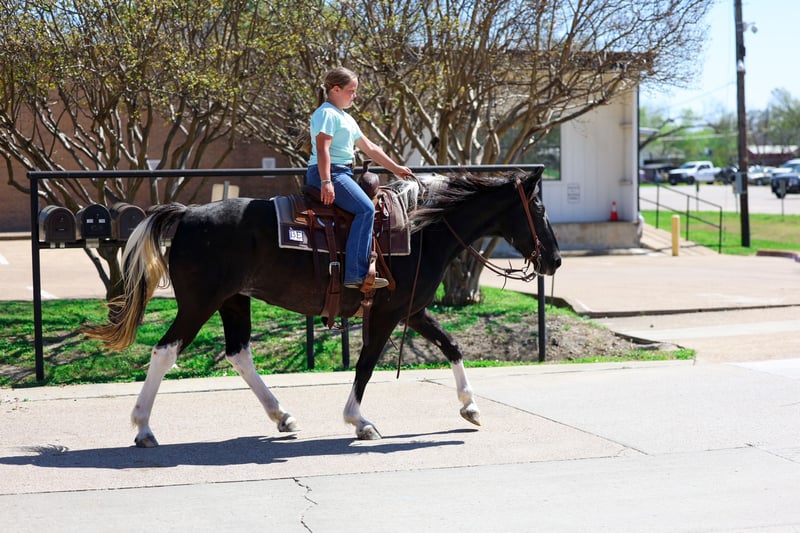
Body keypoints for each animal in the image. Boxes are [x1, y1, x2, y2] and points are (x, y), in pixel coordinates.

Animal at [85, 170, 561, 446]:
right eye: (537, 208)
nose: (555, 260)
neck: (420, 229)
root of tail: (186, 214)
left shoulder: (411, 310)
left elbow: (451, 346)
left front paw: (470, 406)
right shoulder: (386, 313)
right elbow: (367, 364)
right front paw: (359, 421)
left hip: (233, 301)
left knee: (239, 354)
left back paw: (282, 416)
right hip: (199, 304)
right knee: (165, 352)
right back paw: (143, 427)